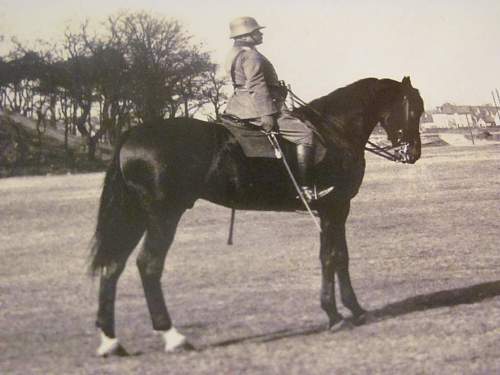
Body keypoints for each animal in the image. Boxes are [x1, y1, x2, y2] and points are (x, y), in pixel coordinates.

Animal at [91, 76, 426, 356]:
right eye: (414, 109)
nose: (413, 153)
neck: (334, 130)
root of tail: (133, 133)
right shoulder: (335, 208)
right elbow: (333, 257)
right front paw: (337, 314)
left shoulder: (332, 211)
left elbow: (336, 257)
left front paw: (350, 310)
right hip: (163, 216)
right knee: (148, 265)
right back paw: (173, 336)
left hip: (135, 217)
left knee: (113, 267)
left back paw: (111, 342)